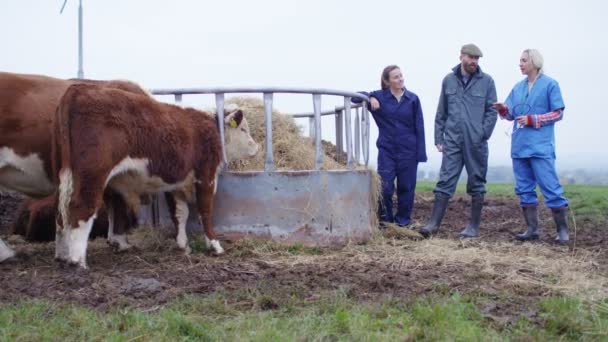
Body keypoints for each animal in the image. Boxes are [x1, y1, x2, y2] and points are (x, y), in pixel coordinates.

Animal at [52, 84, 258, 268]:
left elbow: (180, 213)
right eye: (243, 129)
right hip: (92, 174)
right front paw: (215, 246)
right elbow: (205, 211)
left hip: (67, 177)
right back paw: (77, 261)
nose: (256, 148)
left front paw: (183, 244)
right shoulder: (206, 175)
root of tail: (78, 90)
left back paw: (62, 255)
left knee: (62, 213)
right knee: (81, 208)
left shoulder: (176, 183)